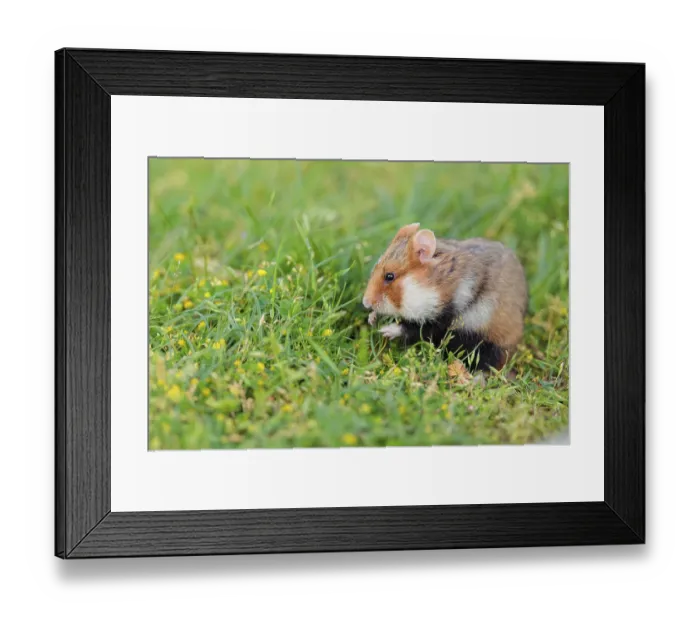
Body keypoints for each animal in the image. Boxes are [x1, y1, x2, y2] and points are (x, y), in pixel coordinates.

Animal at [362, 223, 528, 371]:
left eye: (389, 276)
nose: (365, 303)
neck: (436, 284)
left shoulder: (444, 317)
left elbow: (414, 328)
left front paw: (385, 330)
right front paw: (372, 319)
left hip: (490, 343)